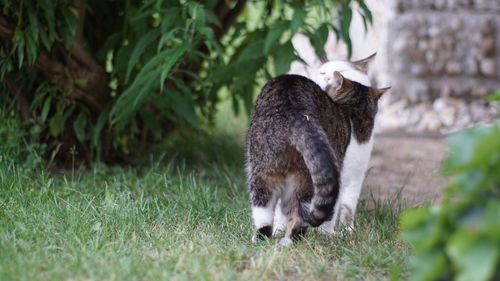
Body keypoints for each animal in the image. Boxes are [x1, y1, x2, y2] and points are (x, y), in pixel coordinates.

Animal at [246, 69, 390, 244]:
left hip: (264, 168)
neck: (353, 111)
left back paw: (270, 240)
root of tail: (293, 114)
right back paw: (288, 241)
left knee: (267, 211)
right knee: (298, 213)